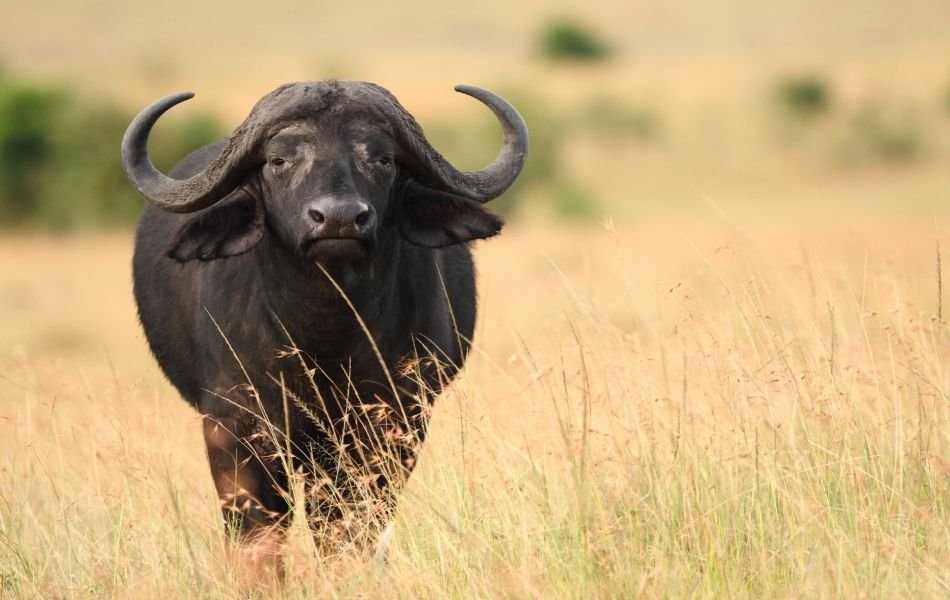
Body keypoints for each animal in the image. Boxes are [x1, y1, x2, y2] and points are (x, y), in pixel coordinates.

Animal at [122, 80, 527, 571]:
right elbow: (257, 532)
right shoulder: (234, 427)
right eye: (279, 160)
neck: (325, 338)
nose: (338, 218)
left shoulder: (392, 425)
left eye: (383, 158)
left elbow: (349, 526)